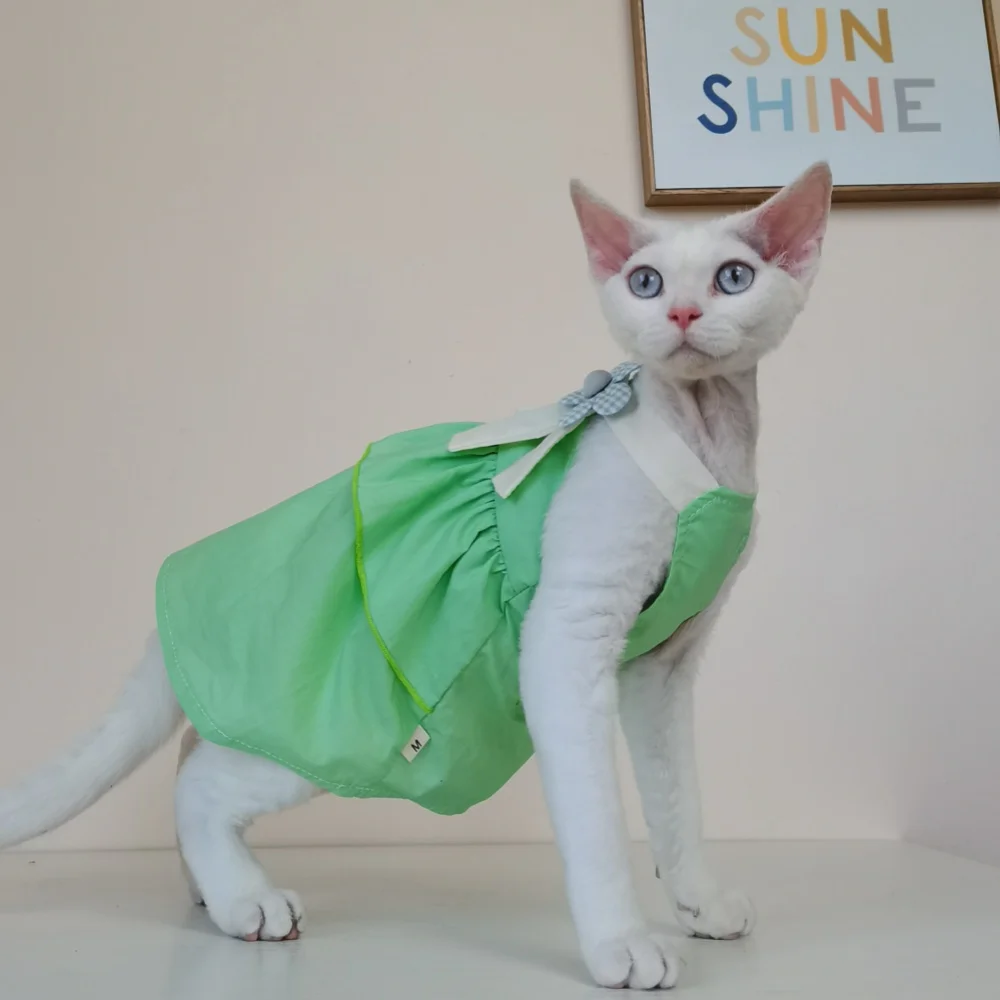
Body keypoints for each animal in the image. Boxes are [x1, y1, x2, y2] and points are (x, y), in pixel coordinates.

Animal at [0, 162, 831, 990]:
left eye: (733, 277)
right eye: (646, 281)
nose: (684, 312)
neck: (704, 435)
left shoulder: (662, 668)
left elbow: (677, 798)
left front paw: (699, 902)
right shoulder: (568, 636)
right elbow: (597, 819)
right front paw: (621, 943)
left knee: (194, 752)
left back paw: (212, 890)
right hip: (350, 735)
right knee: (197, 784)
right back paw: (245, 901)